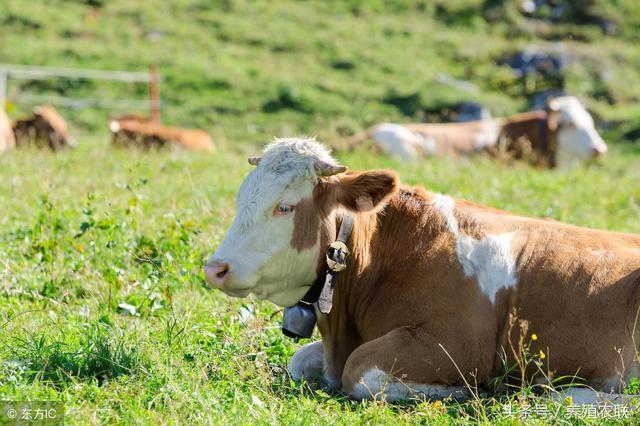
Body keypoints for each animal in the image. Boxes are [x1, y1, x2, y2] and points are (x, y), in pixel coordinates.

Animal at [204, 138, 640, 404]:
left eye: (285, 206)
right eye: (241, 199)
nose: (214, 268)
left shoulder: (456, 345)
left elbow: (359, 370)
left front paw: (464, 391)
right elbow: (299, 361)